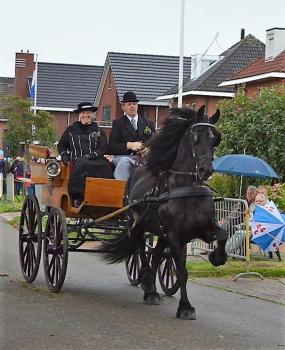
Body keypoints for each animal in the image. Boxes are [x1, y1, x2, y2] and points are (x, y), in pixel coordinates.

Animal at [101, 106, 226, 320]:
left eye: (215, 138)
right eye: (195, 136)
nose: (205, 170)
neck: (187, 188)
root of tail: (137, 170)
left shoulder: (201, 229)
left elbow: (223, 235)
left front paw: (218, 257)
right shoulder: (174, 235)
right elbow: (182, 271)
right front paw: (185, 307)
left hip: (158, 230)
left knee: (157, 253)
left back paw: (151, 287)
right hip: (138, 224)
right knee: (141, 249)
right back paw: (148, 286)